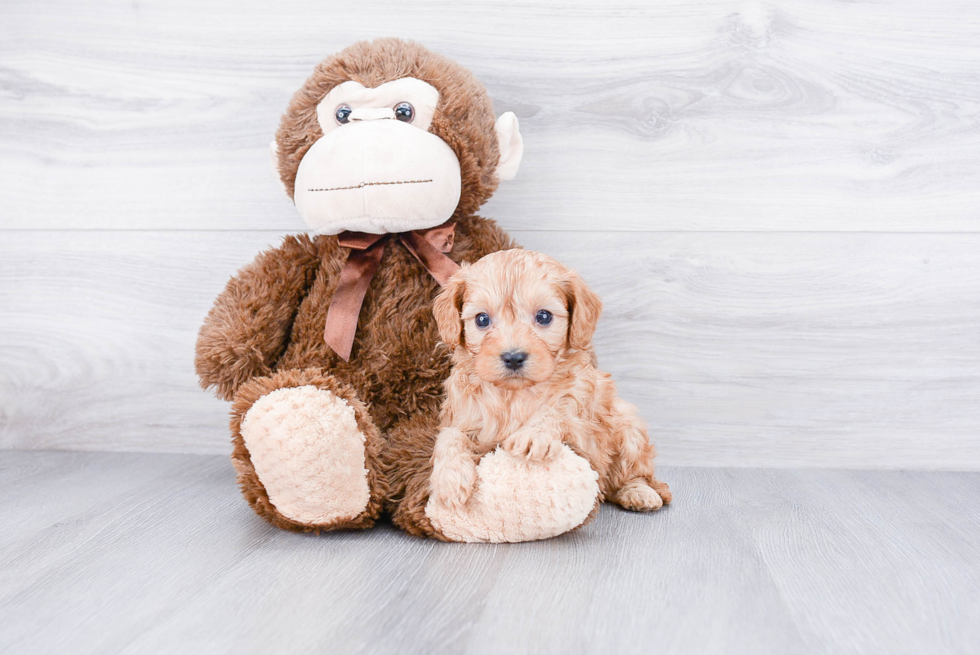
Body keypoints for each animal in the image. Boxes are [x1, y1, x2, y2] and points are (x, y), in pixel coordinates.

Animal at [430, 249, 672, 516]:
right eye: (482, 319)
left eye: (544, 316)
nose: (513, 357)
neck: (514, 395)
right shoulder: (463, 418)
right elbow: (450, 437)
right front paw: (449, 479)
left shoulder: (584, 431)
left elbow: (559, 412)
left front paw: (533, 434)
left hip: (628, 427)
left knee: (632, 474)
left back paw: (638, 492)